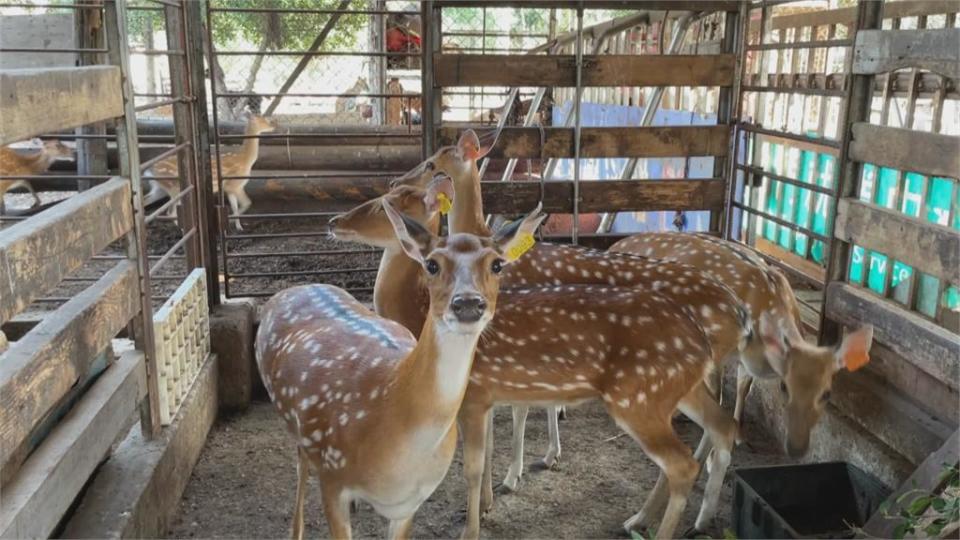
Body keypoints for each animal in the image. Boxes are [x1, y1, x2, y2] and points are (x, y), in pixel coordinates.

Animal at [145, 115, 278, 231]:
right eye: (265, 120)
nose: (274, 126)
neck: (245, 160)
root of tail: (151, 171)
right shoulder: (234, 185)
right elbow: (246, 203)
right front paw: (230, 221)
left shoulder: (230, 188)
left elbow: (235, 206)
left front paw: (238, 227)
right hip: (175, 189)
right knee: (170, 212)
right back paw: (184, 232)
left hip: (160, 188)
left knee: (147, 202)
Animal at [256, 199, 548, 540]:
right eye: (431, 264)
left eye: (497, 265)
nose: (467, 303)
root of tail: (293, 288)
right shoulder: (332, 477)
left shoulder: (411, 500)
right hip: (299, 428)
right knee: (301, 464)